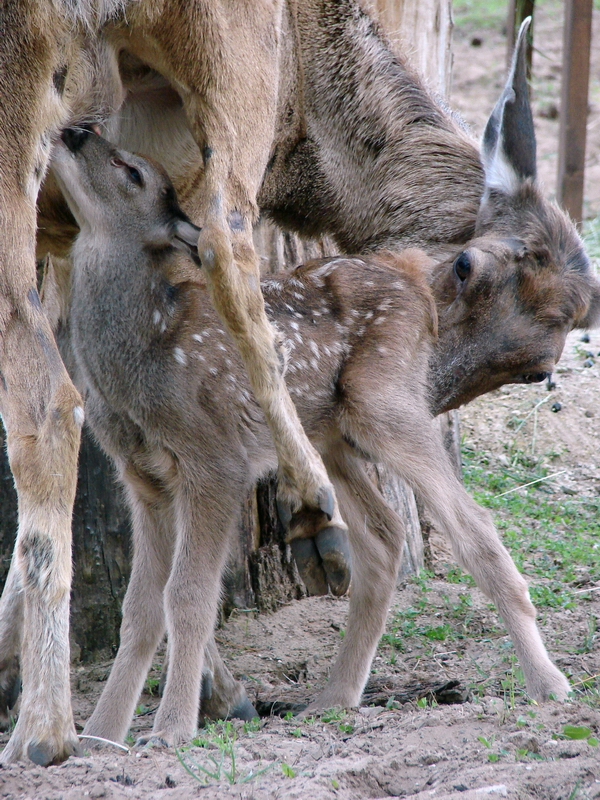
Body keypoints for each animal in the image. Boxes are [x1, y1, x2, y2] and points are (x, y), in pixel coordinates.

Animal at [0, 0, 598, 764]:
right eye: (466, 265)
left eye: (537, 370)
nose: (77, 133)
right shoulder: (155, 472)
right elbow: (150, 599)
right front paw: (120, 724)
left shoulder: (194, 466)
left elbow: (174, 595)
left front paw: (159, 721)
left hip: (366, 411)